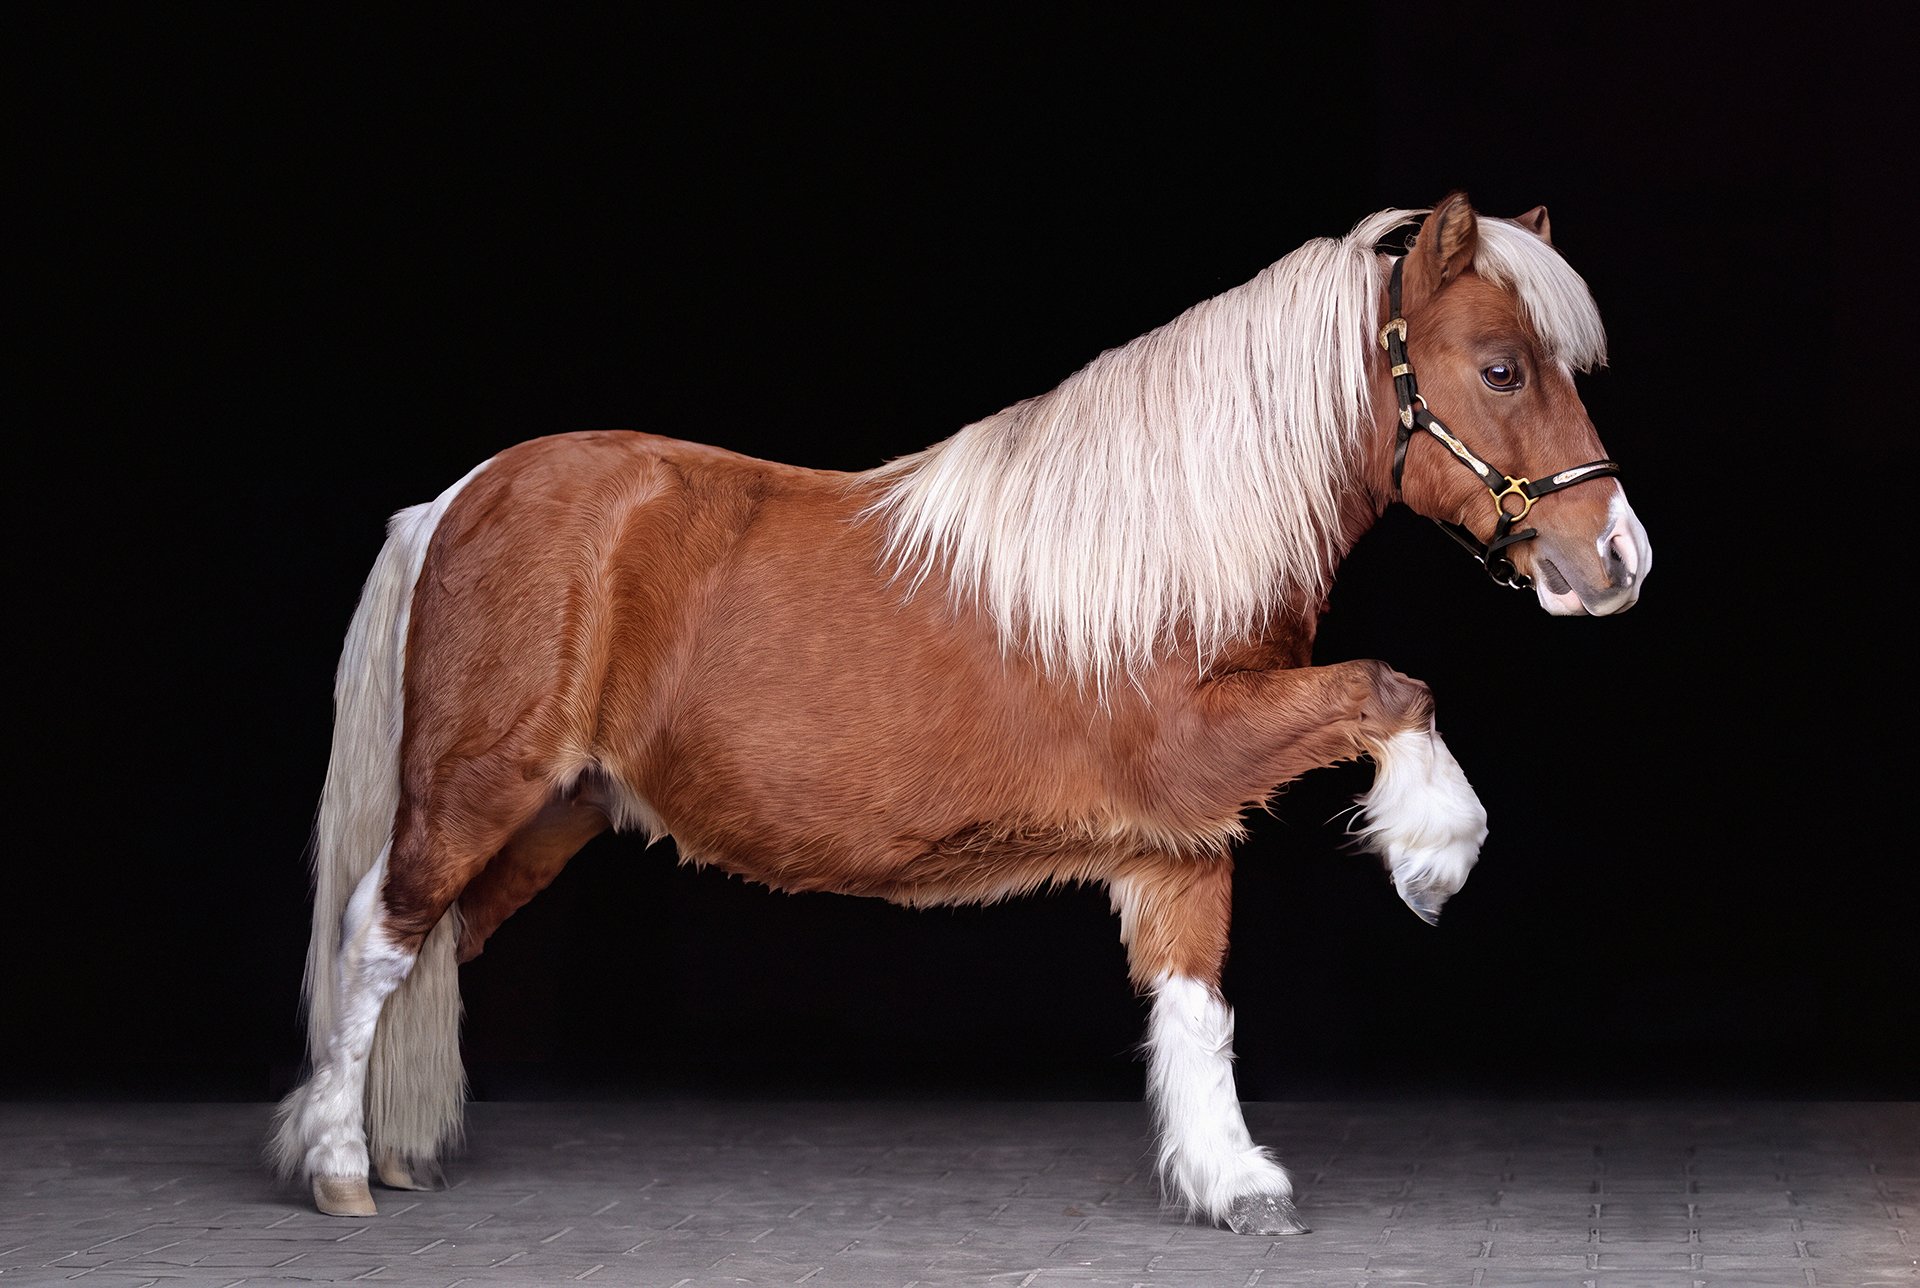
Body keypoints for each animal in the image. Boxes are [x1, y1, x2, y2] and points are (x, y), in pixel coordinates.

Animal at [270, 193, 1651, 1234]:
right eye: (1500, 368)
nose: (1620, 560)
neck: (1163, 547)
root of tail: (456, 497)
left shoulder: (1186, 826)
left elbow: (1196, 1002)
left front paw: (1231, 1180)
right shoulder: (1203, 750)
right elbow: (1393, 686)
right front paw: (1433, 854)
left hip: (553, 813)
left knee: (439, 943)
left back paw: (393, 1149)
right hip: (476, 788)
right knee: (378, 935)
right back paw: (337, 1164)